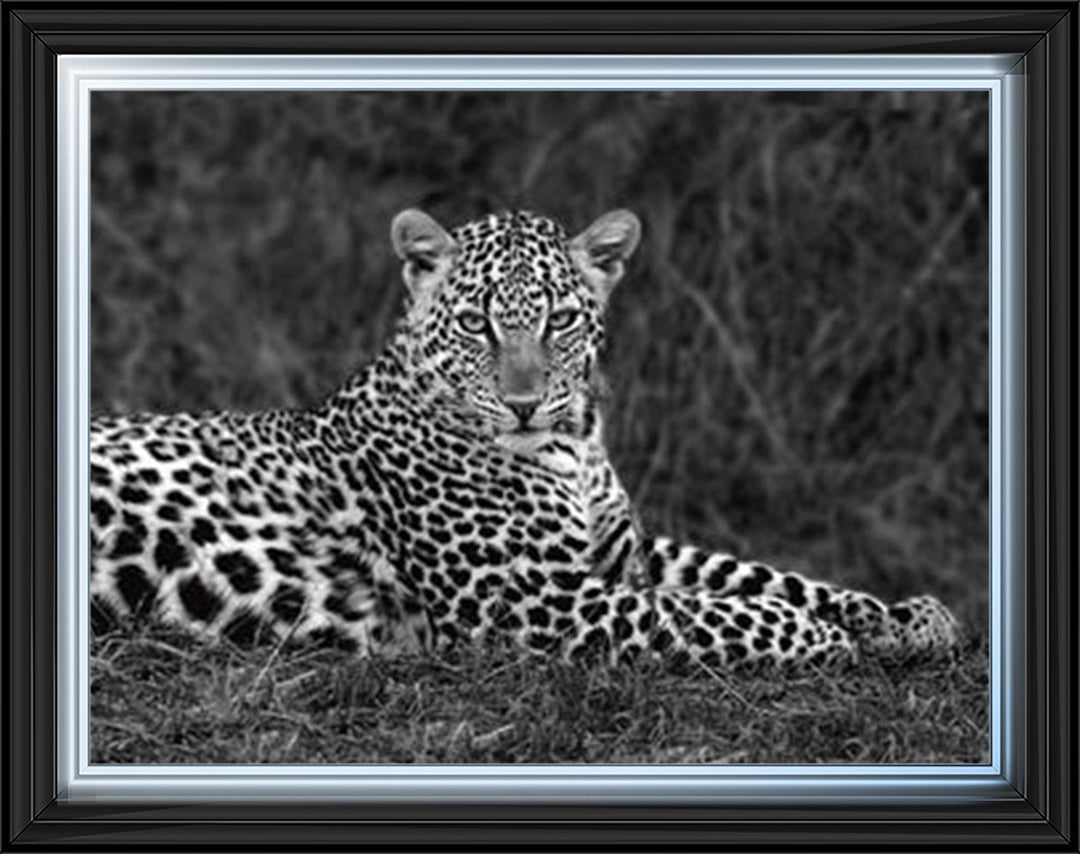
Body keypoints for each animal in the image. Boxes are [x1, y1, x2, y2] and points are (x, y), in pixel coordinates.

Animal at [90, 208, 961, 673]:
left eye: (561, 320)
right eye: (477, 323)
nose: (524, 404)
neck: (576, 444)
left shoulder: (623, 554)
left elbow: (750, 574)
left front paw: (903, 616)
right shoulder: (527, 599)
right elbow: (709, 614)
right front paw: (827, 635)